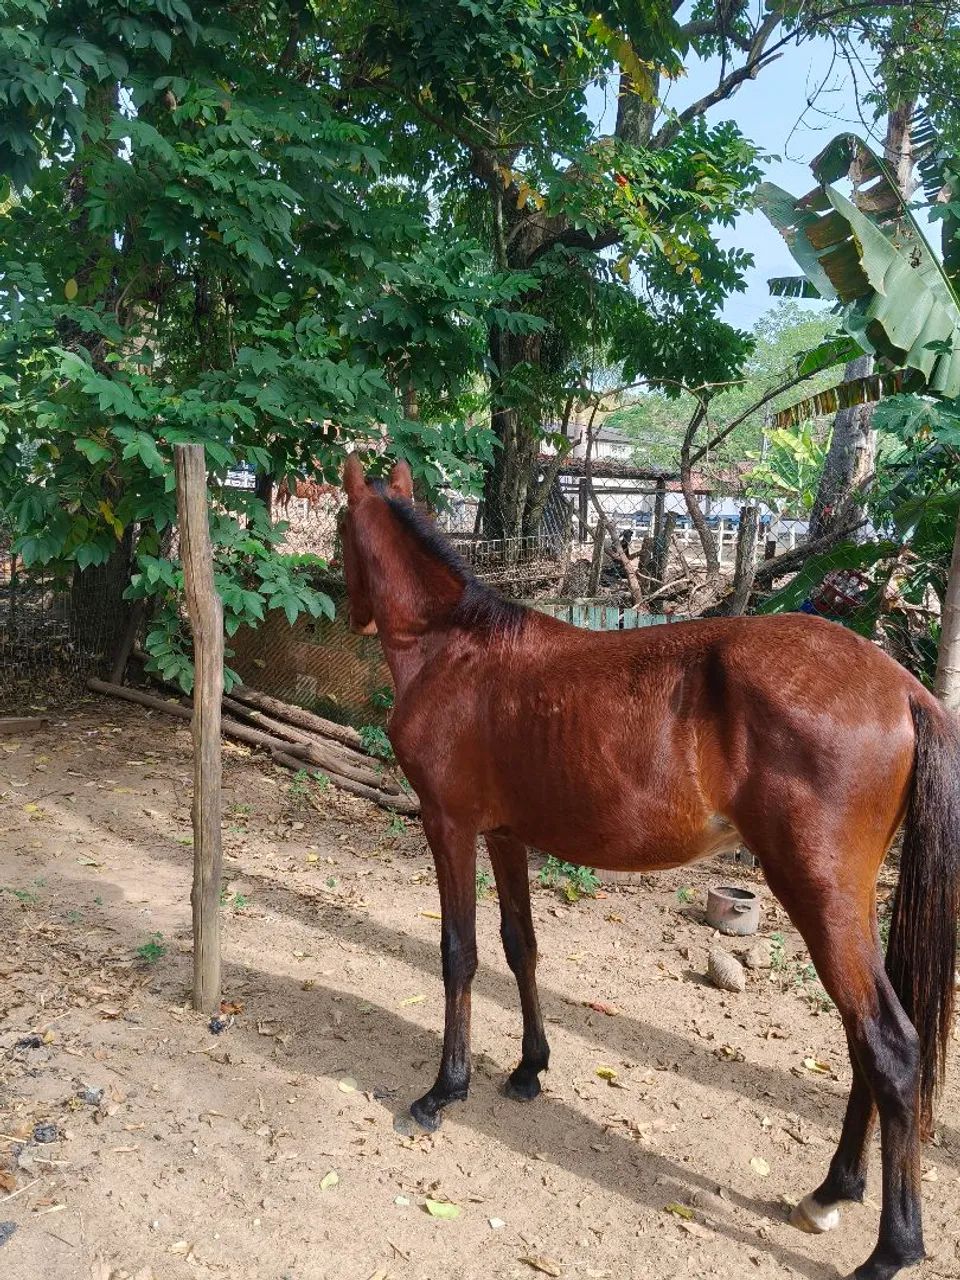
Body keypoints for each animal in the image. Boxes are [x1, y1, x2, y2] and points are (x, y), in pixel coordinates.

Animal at [339, 454, 959, 1280]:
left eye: (340, 525)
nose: (351, 613)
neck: (456, 648)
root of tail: (902, 686)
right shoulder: (505, 836)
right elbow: (520, 946)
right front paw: (529, 1068)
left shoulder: (451, 827)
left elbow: (459, 954)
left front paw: (444, 1090)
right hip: (849, 907)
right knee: (865, 1039)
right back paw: (833, 1190)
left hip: (818, 895)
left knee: (888, 1043)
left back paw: (892, 1247)